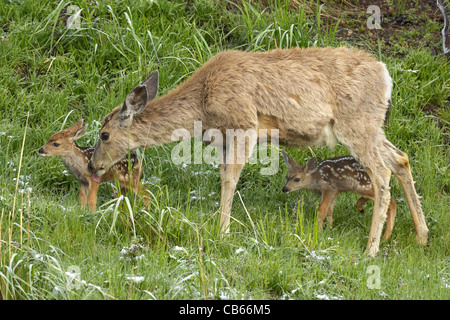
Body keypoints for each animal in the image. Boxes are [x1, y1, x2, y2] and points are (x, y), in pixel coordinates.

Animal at [88, 47, 428, 256]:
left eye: (104, 134)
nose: (92, 165)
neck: (202, 104)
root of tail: (386, 75)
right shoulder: (224, 138)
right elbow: (224, 177)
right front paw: (219, 223)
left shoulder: (245, 123)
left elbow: (229, 179)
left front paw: (222, 231)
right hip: (372, 127)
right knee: (401, 159)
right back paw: (421, 235)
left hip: (356, 123)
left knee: (382, 174)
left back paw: (371, 248)